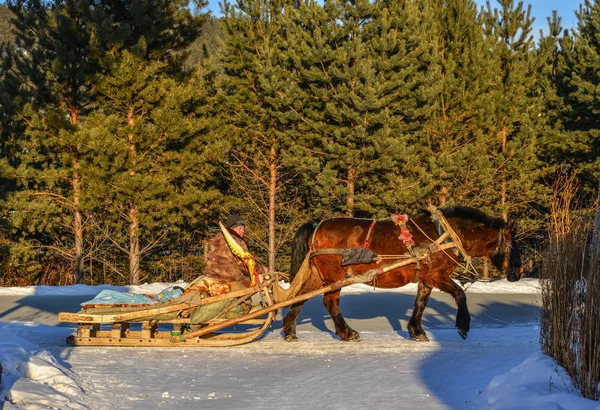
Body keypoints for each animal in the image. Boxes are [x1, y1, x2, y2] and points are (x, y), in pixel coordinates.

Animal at [284, 205, 524, 342]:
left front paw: (416, 331)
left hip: (318, 274)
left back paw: (289, 330)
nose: (519, 271)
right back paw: (347, 333)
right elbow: (460, 294)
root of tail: (316, 226)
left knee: (300, 297)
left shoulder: (426, 277)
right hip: (335, 275)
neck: (445, 234)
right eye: (512, 243)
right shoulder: (436, 275)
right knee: (330, 302)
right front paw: (463, 326)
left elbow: (421, 303)